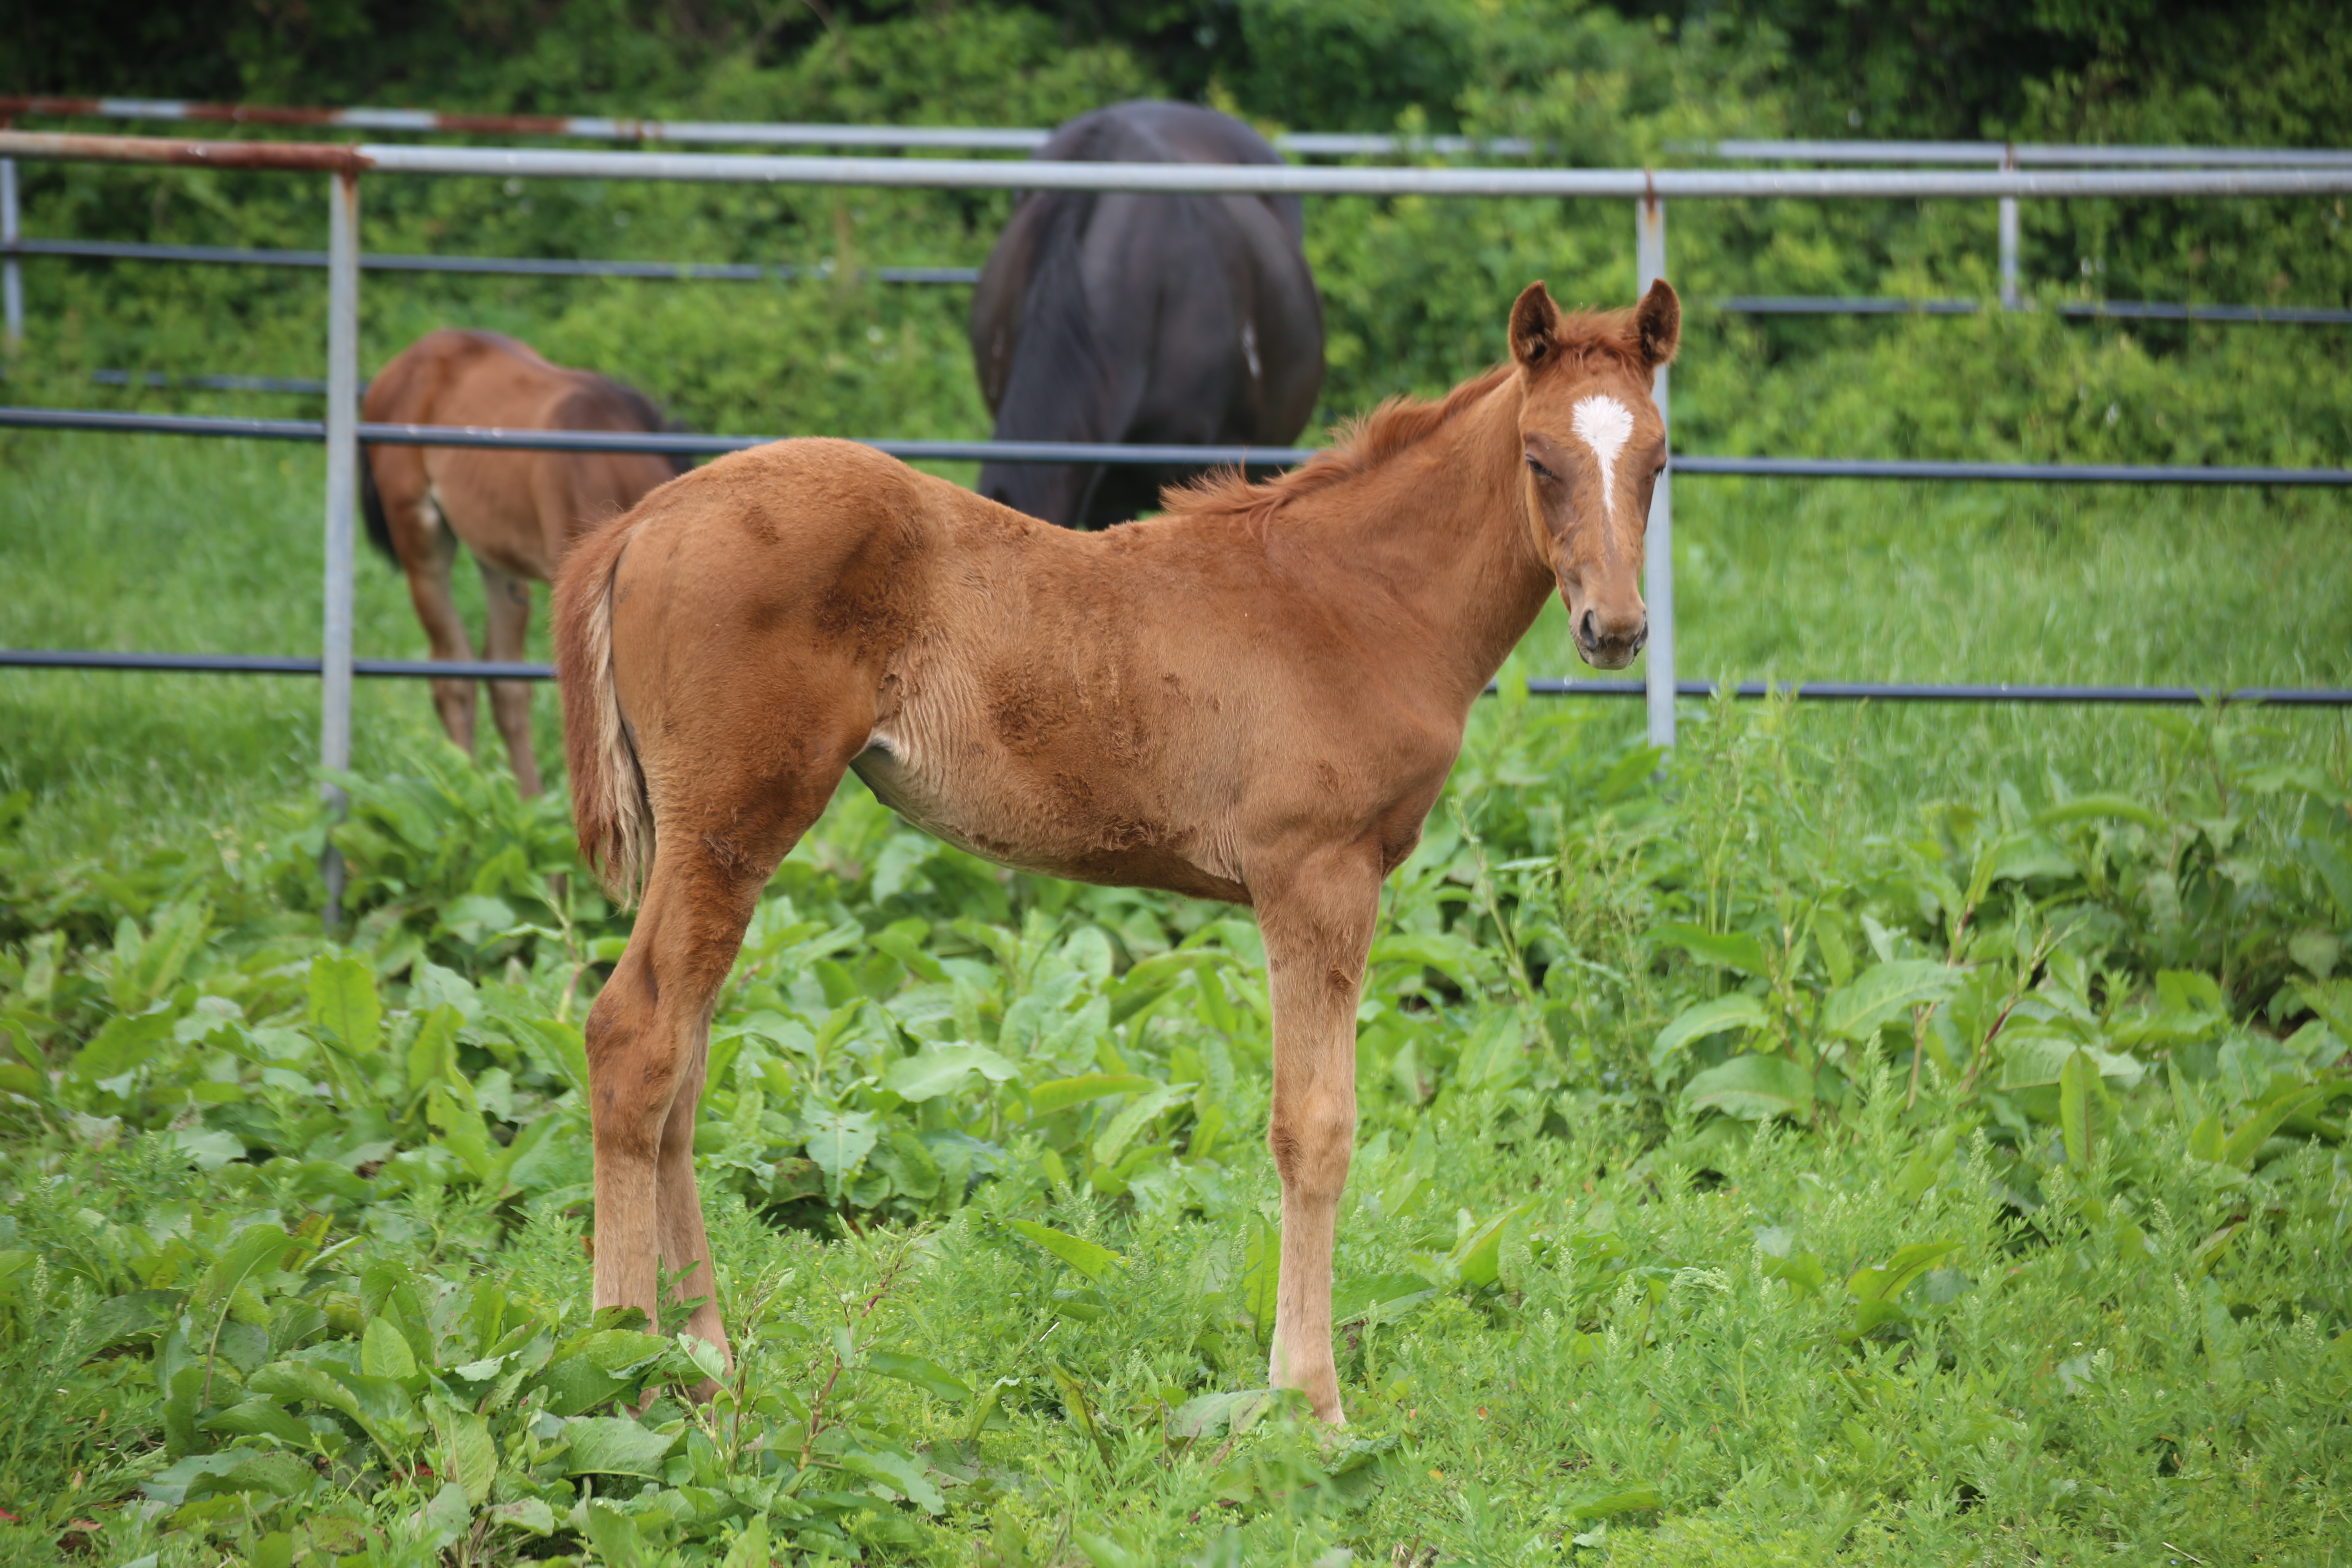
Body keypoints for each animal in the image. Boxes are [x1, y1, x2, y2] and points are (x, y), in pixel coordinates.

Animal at [362, 331, 686, 799]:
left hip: (498, 560)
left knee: (504, 682)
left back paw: (527, 800)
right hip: (421, 540)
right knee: (453, 675)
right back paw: (466, 788)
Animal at [550, 282, 1675, 1420]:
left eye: (1658, 460)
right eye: (1539, 456)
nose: (1616, 628)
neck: (1359, 601)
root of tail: (639, 524)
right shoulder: (1316, 877)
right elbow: (1313, 1128)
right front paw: (1308, 1401)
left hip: (706, 840)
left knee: (684, 1061)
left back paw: (706, 1362)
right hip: (732, 824)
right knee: (635, 1038)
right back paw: (617, 1365)